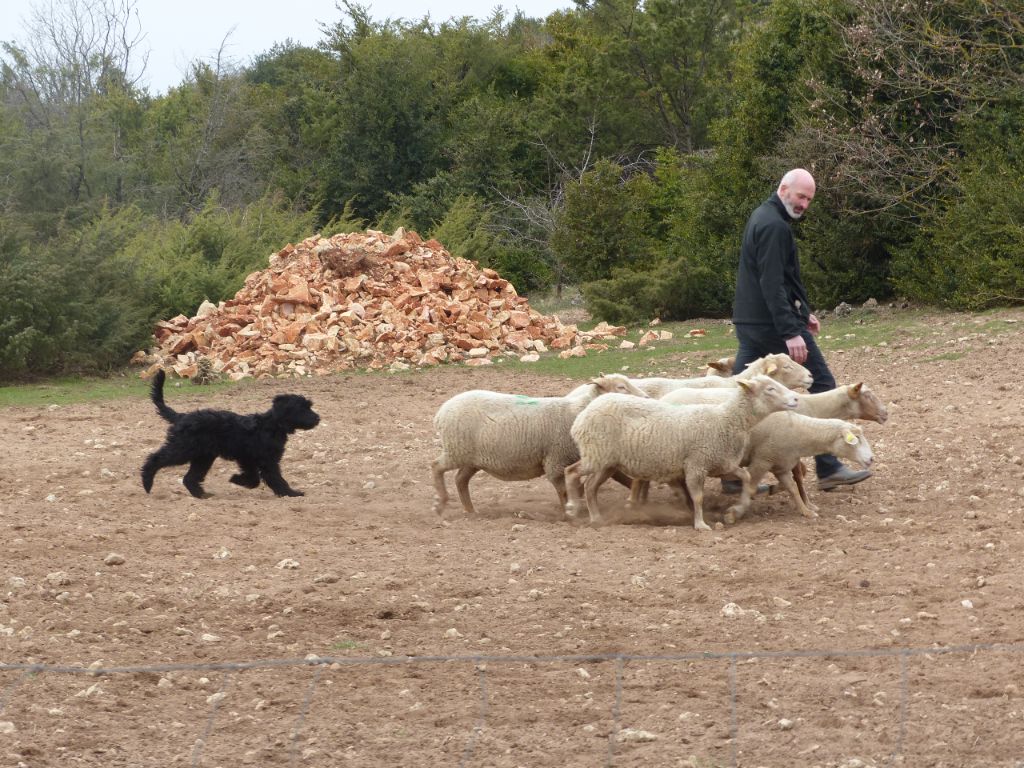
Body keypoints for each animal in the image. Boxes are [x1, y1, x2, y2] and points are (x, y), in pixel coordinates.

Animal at [140, 370, 315, 499]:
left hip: (203, 457)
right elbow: (275, 478)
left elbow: (254, 479)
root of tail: (181, 416)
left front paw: (237, 479)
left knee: (189, 478)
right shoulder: (267, 460)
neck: (272, 425)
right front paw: (291, 493)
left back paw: (202, 495)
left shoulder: (247, 459)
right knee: (155, 459)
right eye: (303, 408)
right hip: (183, 450)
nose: (317, 418)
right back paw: (147, 483)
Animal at [432, 372, 647, 518]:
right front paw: (569, 512)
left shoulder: (595, 456)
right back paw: (441, 503)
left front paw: (637, 498)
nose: (646, 398)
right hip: (456, 450)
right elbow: (564, 490)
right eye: (621, 387)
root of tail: (442, 411)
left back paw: (470, 511)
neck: (577, 411)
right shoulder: (556, 460)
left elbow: (614, 478)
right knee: (436, 467)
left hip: (472, 459)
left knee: (460, 480)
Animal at [569, 376, 798, 532]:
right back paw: (572, 507)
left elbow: (747, 477)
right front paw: (700, 524)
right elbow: (697, 497)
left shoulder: (722, 463)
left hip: (607, 462)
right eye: (770, 388)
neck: (725, 420)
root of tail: (584, 414)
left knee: (590, 486)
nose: (795, 398)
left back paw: (596, 518)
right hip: (595, 455)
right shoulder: (696, 465)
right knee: (571, 472)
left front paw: (739, 507)